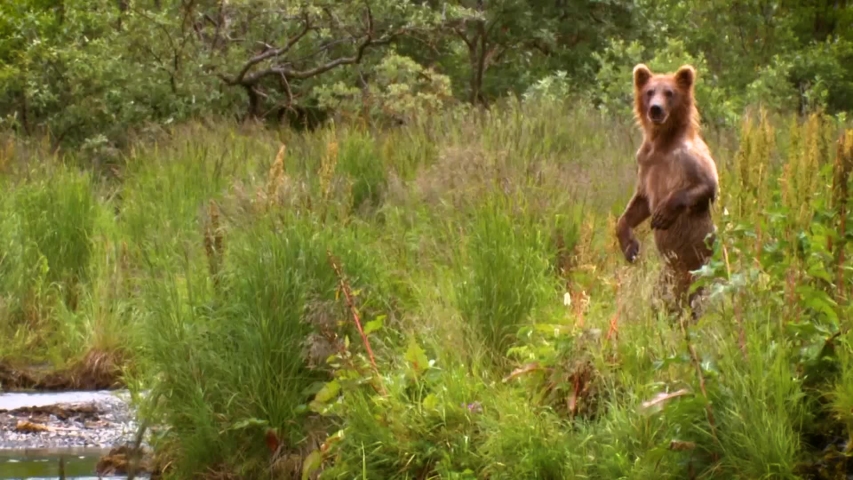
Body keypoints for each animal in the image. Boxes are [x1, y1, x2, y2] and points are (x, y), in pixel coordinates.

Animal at [615, 63, 720, 320]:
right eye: (650, 91)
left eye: (669, 92)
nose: (655, 109)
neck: (662, 144)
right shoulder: (645, 163)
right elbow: (637, 205)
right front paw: (630, 246)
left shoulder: (690, 158)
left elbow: (707, 186)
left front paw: (662, 214)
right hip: (668, 276)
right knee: (662, 298)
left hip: (700, 268)